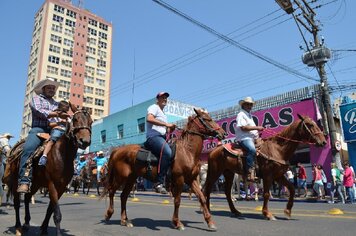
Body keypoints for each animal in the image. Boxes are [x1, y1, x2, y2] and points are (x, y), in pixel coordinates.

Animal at [4, 104, 92, 236]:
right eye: (75, 119)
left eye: (91, 122)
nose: (85, 141)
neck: (62, 154)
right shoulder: (52, 185)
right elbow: (57, 214)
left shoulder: (61, 187)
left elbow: (50, 210)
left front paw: (44, 229)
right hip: (15, 182)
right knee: (17, 203)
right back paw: (18, 227)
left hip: (35, 183)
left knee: (27, 198)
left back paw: (26, 223)